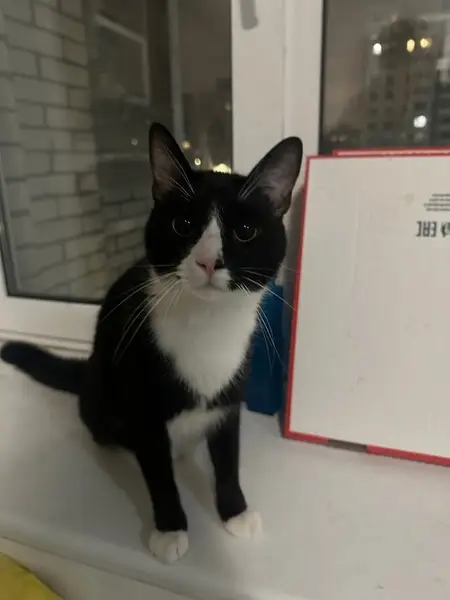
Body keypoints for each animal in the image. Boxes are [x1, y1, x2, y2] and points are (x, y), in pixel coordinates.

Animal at [1, 123, 303, 563]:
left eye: (245, 231)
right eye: (183, 224)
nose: (208, 261)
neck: (206, 325)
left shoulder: (230, 395)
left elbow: (228, 457)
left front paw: (235, 512)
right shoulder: (141, 403)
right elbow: (158, 473)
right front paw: (171, 529)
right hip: (103, 394)